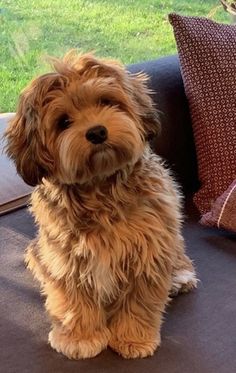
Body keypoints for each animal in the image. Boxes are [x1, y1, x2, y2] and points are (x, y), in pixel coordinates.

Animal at [5, 50, 197, 358]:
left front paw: (133, 338)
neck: (100, 187)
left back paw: (179, 276)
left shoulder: (148, 248)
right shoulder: (66, 257)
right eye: (63, 121)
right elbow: (74, 301)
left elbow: (139, 302)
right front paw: (80, 338)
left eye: (106, 101)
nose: (96, 132)